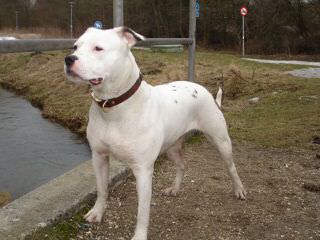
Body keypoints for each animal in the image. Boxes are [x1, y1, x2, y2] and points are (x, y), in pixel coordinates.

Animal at [63, 26, 246, 240]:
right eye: (75, 46)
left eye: (98, 48)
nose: (68, 59)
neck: (113, 107)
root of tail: (201, 88)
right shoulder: (99, 158)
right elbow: (101, 189)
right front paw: (97, 212)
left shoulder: (143, 171)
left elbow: (142, 212)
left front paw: (139, 236)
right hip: (172, 147)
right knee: (182, 165)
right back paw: (174, 188)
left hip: (221, 142)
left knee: (231, 167)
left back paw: (239, 190)